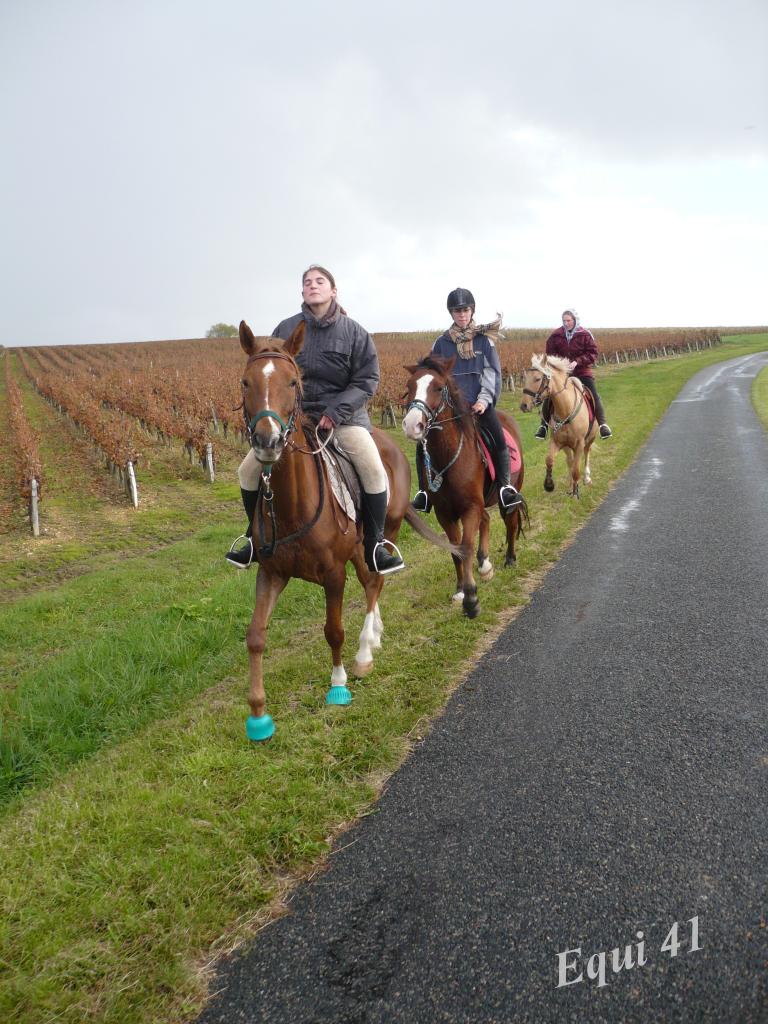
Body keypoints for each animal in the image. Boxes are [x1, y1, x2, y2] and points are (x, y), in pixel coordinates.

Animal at [239, 319, 456, 745]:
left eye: (293, 381)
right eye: (245, 382)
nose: (268, 441)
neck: (291, 503)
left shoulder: (333, 575)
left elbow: (334, 630)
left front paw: (338, 685)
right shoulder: (271, 572)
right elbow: (256, 635)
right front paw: (258, 714)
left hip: (383, 534)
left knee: (376, 582)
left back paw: (365, 652)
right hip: (360, 547)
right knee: (371, 583)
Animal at [399, 356, 528, 618]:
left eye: (439, 388)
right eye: (409, 387)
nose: (411, 425)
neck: (449, 457)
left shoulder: (470, 508)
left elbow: (466, 546)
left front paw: (471, 599)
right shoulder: (445, 514)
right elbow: (455, 549)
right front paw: (460, 590)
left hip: (506, 496)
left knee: (510, 522)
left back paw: (509, 559)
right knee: (486, 521)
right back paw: (485, 564)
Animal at [520, 354, 598, 497]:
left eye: (538, 378)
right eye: (524, 378)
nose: (524, 405)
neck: (565, 409)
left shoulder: (580, 444)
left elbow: (576, 469)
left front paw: (575, 493)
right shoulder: (557, 441)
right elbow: (549, 460)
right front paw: (549, 484)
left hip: (590, 439)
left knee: (586, 454)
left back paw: (586, 478)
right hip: (567, 446)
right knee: (570, 461)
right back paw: (570, 484)